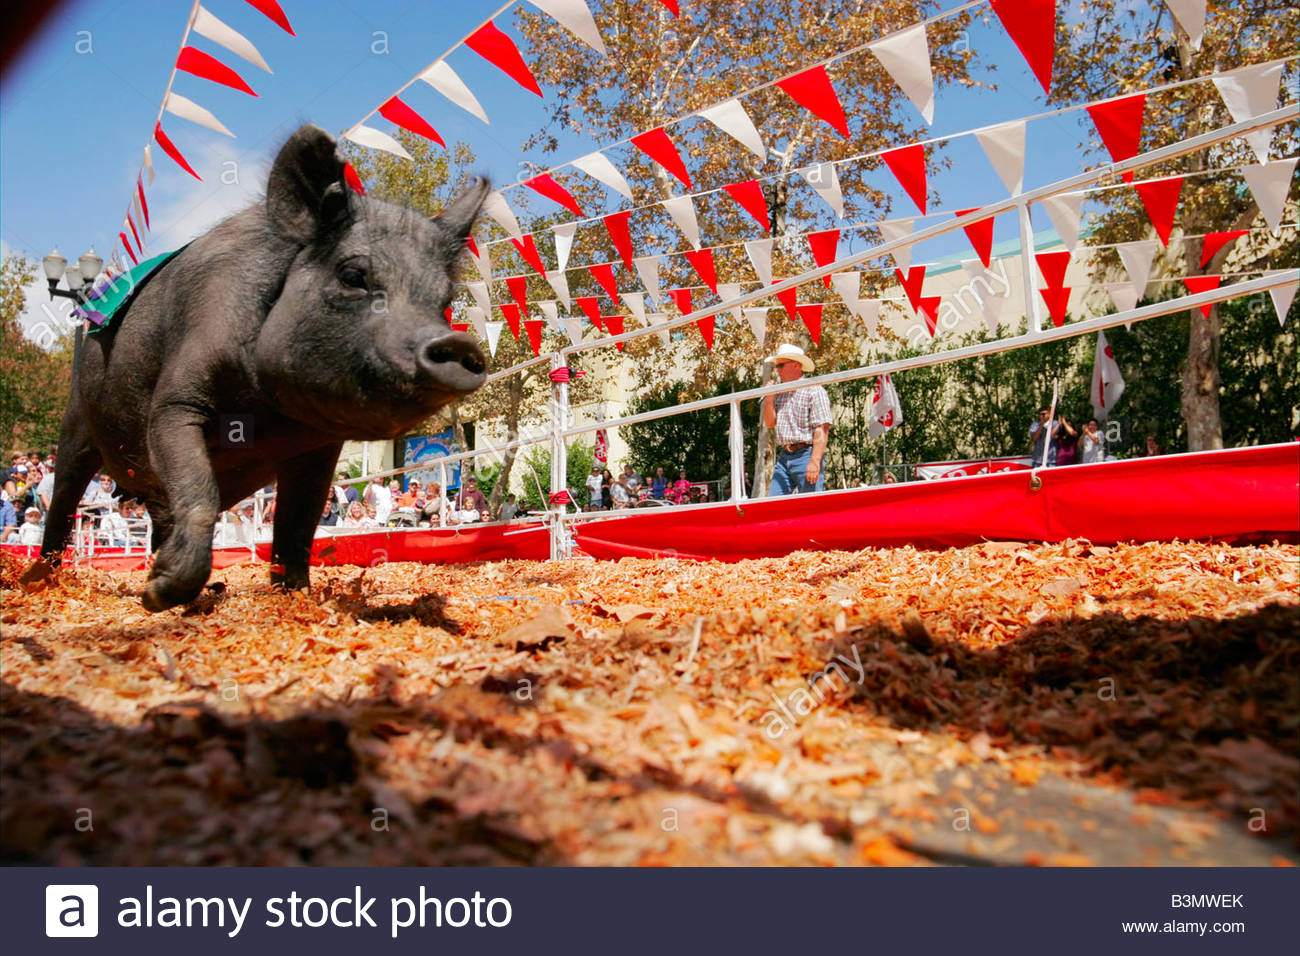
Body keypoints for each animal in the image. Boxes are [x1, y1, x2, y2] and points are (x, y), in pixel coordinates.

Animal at [31, 124, 490, 611]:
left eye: (444, 299)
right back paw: (39, 579)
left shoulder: (318, 448)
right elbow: (202, 492)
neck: (269, 412)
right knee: (64, 498)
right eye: (352, 276)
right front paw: (156, 598)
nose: (456, 341)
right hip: (77, 417)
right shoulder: (175, 402)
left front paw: (295, 593)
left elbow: (298, 525)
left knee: (160, 512)